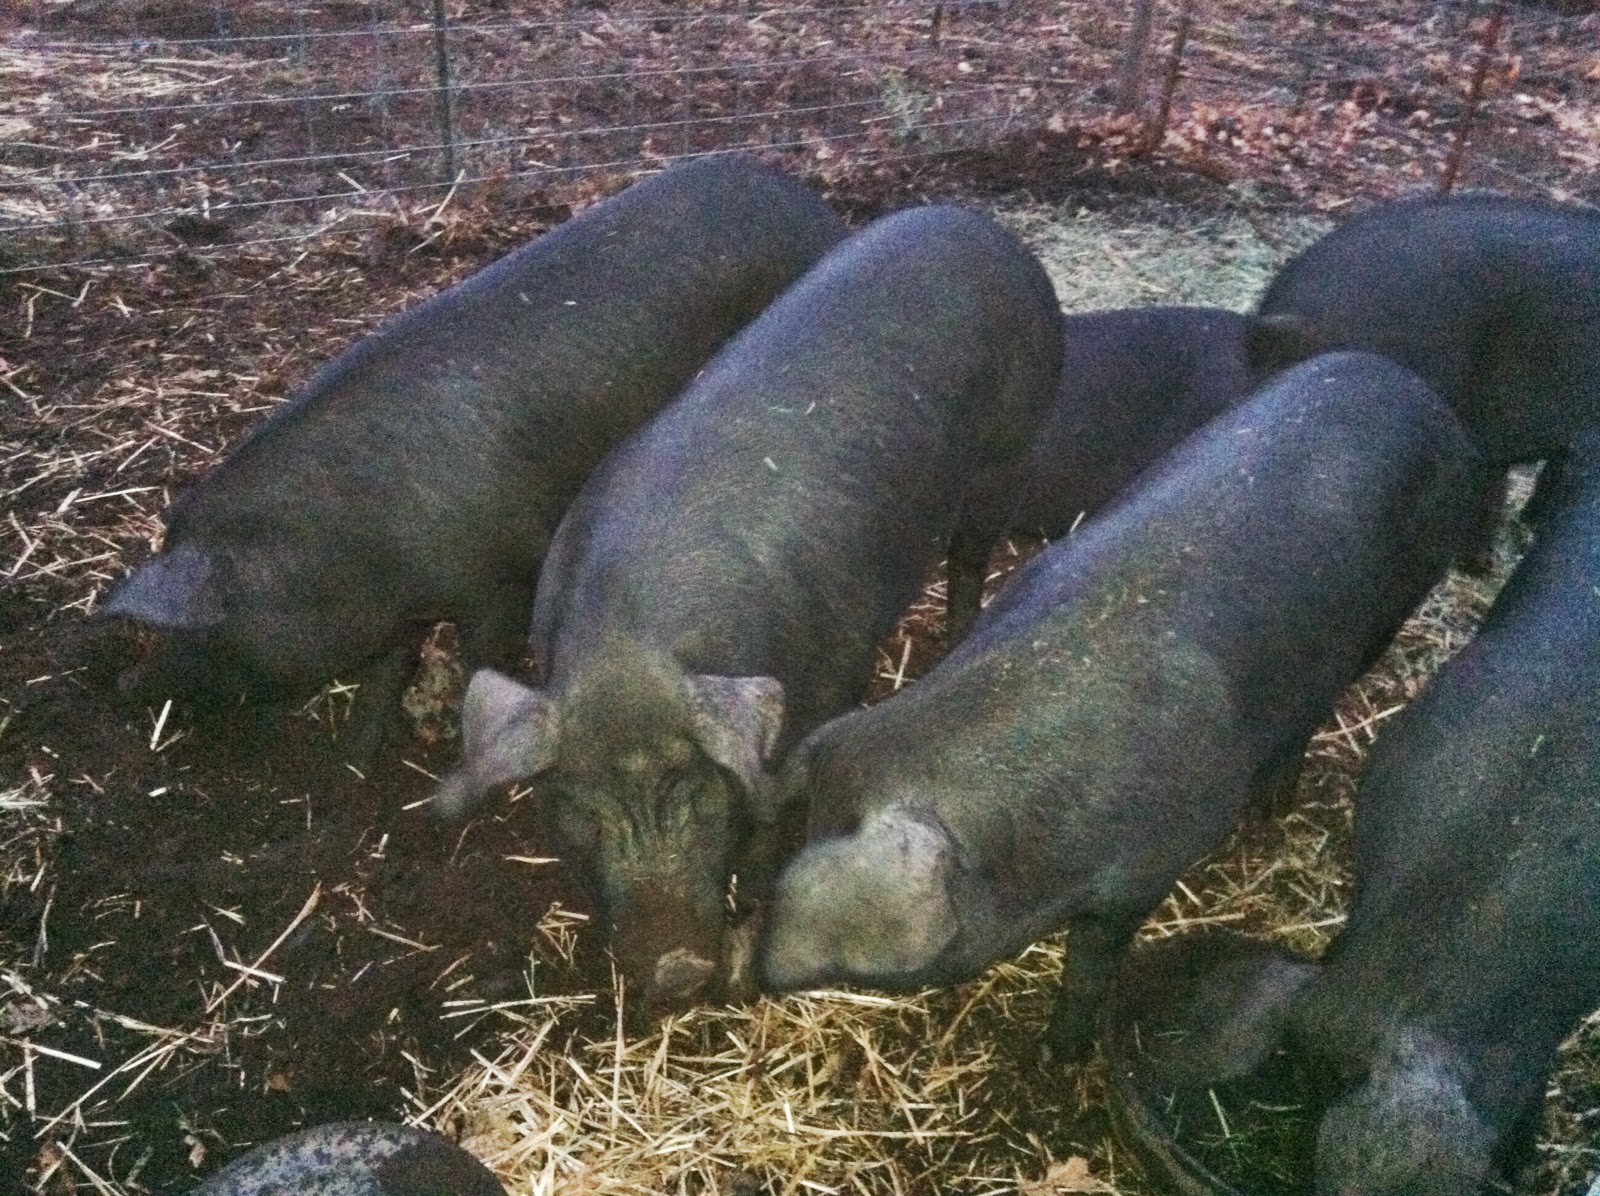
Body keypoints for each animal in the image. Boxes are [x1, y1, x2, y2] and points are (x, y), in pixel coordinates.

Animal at [95, 155, 848, 764]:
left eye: (201, 634)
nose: (128, 686)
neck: (353, 552)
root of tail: (812, 204)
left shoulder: (497, 579)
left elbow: (478, 658)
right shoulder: (390, 614)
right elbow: (384, 673)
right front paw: (355, 756)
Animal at [430, 205, 1064, 1016]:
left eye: (702, 800)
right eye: (585, 816)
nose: (676, 970)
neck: (625, 641)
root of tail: (988, 231)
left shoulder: (831, 674)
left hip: (1006, 457)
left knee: (971, 558)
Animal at [759, 351, 1477, 1062]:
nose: (757, 968)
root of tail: (1417, 391)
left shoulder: (1151, 865)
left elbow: (1093, 964)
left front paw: (1059, 1056)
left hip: (1397, 602)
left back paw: (1273, 802)